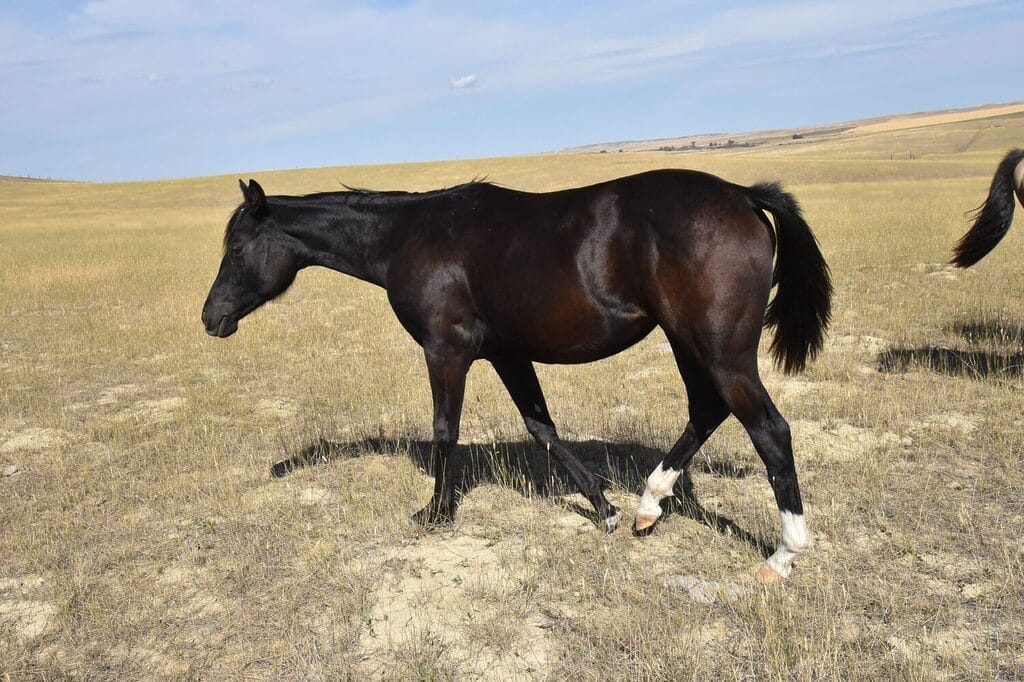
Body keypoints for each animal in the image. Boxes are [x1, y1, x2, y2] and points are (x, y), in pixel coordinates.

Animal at [201, 169, 832, 581]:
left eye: (236, 250)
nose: (211, 319)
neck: (408, 237)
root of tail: (743, 196)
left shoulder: (446, 352)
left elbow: (445, 432)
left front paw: (435, 513)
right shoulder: (507, 354)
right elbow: (541, 428)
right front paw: (602, 508)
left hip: (720, 351)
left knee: (769, 431)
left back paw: (783, 555)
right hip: (688, 344)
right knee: (707, 410)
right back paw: (647, 506)